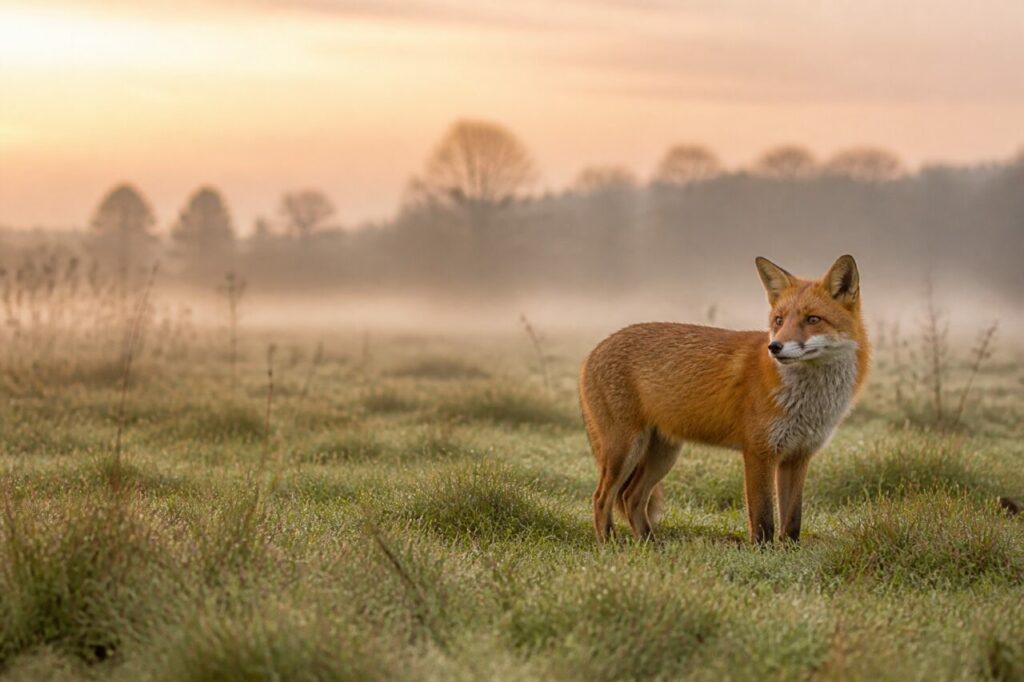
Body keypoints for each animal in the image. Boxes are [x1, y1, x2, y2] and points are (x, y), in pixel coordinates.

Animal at [579, 255, 869, 544]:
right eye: (778, 320)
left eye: (813, 319)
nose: (774, 347)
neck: (809, 402)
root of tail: (592, 352)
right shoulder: (758, 452)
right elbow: (763, 519)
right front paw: (762, 553)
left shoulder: (798, 457)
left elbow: (792, 521)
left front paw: (790, 551)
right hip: (625, 450)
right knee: (601, 498)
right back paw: (609, 544)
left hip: (663, 454)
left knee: (632, 497)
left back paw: (650, 545)